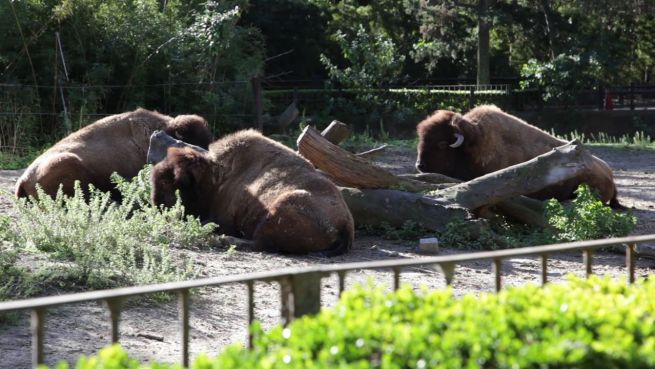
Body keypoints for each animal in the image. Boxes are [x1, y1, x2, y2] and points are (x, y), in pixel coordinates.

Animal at [150, 128, 354, 254]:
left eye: (173, 183)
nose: (158, 209)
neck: (217, 175)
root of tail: (347, 221)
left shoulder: (222, 218)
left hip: (280, 207)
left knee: (259, 243)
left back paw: (222, 240)